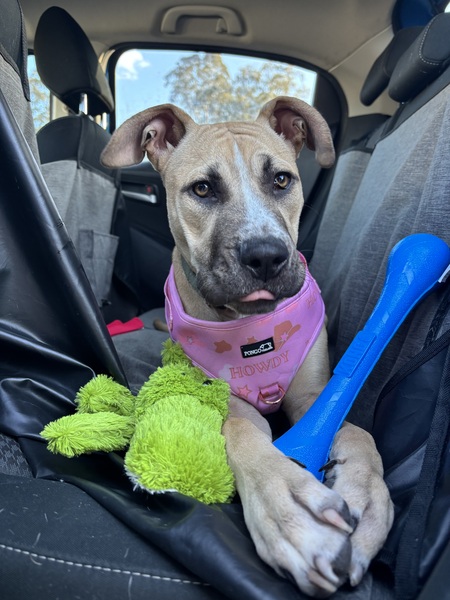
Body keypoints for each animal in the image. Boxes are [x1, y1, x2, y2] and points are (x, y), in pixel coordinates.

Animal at [101, 96, 394, 598]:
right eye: (202, 189)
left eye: (281, 180)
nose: (267, 257)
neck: (250, 328)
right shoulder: (222, 396)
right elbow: (240, 431)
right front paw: (288, 504)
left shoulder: (315, 395)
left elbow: (357, 430)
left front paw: (367, 494)